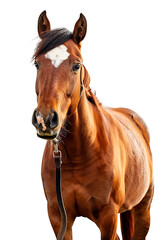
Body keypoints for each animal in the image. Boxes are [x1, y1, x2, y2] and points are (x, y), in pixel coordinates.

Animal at [32, 10, 154, 239]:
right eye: (37, 63)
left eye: (76, 65)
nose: (45, 119)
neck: (79, 153)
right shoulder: (59, 217)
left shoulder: (108, 218)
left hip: (143, 209)